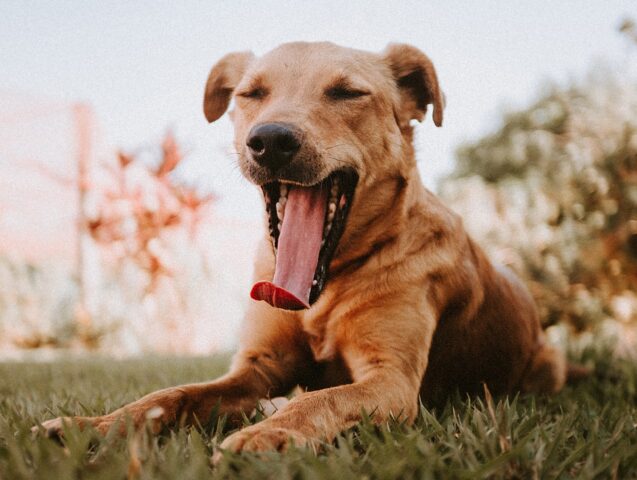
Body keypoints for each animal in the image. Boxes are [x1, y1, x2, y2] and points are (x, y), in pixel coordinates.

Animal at [37, 41, 568, 454]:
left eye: (348, 92)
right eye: (251, 93)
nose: (270, 141)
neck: (325, 285)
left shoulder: (392, 381)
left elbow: (322, 398)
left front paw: (268, 435)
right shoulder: (255, 368)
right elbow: (168, 395)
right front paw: (95, 425)